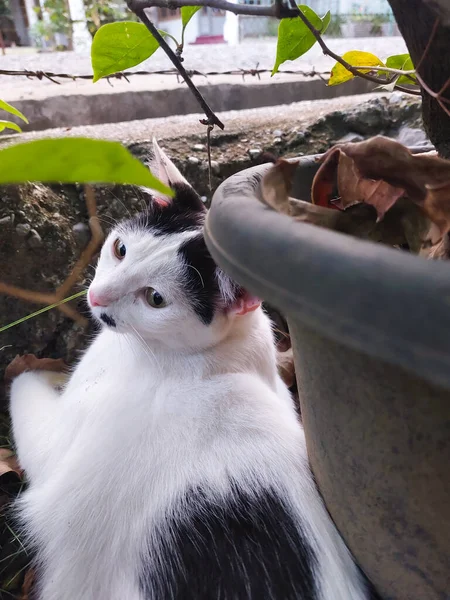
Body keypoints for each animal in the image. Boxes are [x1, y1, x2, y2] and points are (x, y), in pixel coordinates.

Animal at [8, 139, 378, 600]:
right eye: (121, 249)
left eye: (155, 299)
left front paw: (32, 368)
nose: (97, 297)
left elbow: (23, 393)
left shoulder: (57, 452)